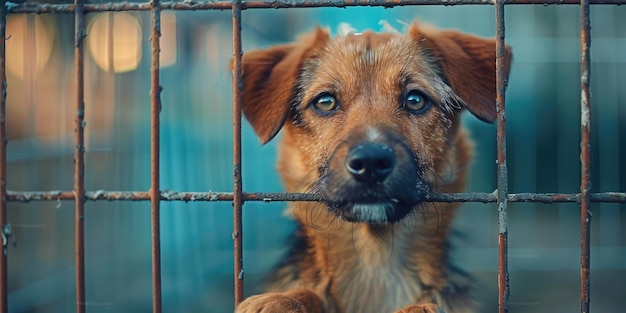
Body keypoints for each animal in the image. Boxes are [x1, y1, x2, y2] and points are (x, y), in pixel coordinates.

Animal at [232, 20, 510, 312]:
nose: (371, 163)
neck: (374, 263)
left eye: (415, 100)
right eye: (325, 102)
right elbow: (309, 292)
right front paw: (283, 300)